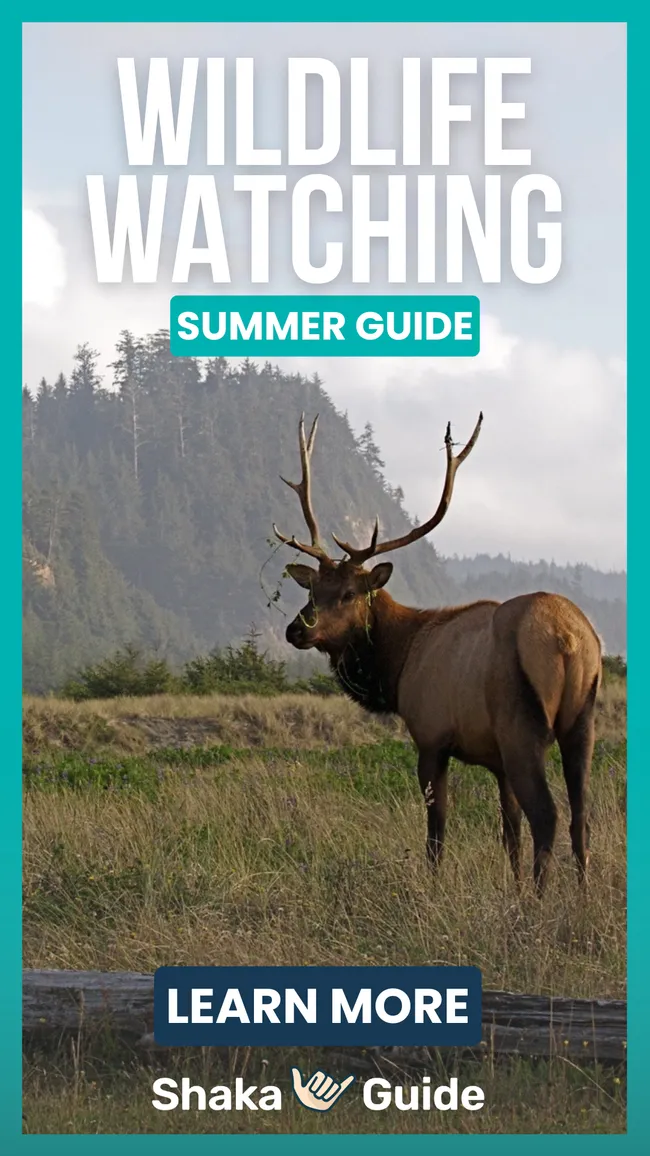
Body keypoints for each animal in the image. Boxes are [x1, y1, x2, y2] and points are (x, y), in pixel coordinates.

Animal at [273, 414, 602, 896]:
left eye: (350, 593)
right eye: (313, 589)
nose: (296, 629)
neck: (397, 665)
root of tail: (569, 639)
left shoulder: (431, 736)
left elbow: (437, 827)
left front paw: (435, 886)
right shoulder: (496, 760)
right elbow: (509, 831)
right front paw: (513, 889)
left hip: (522, 725)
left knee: (548, 815)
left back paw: (542, 904)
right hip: (582, 721)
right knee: (580, 815)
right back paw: (579, 896)